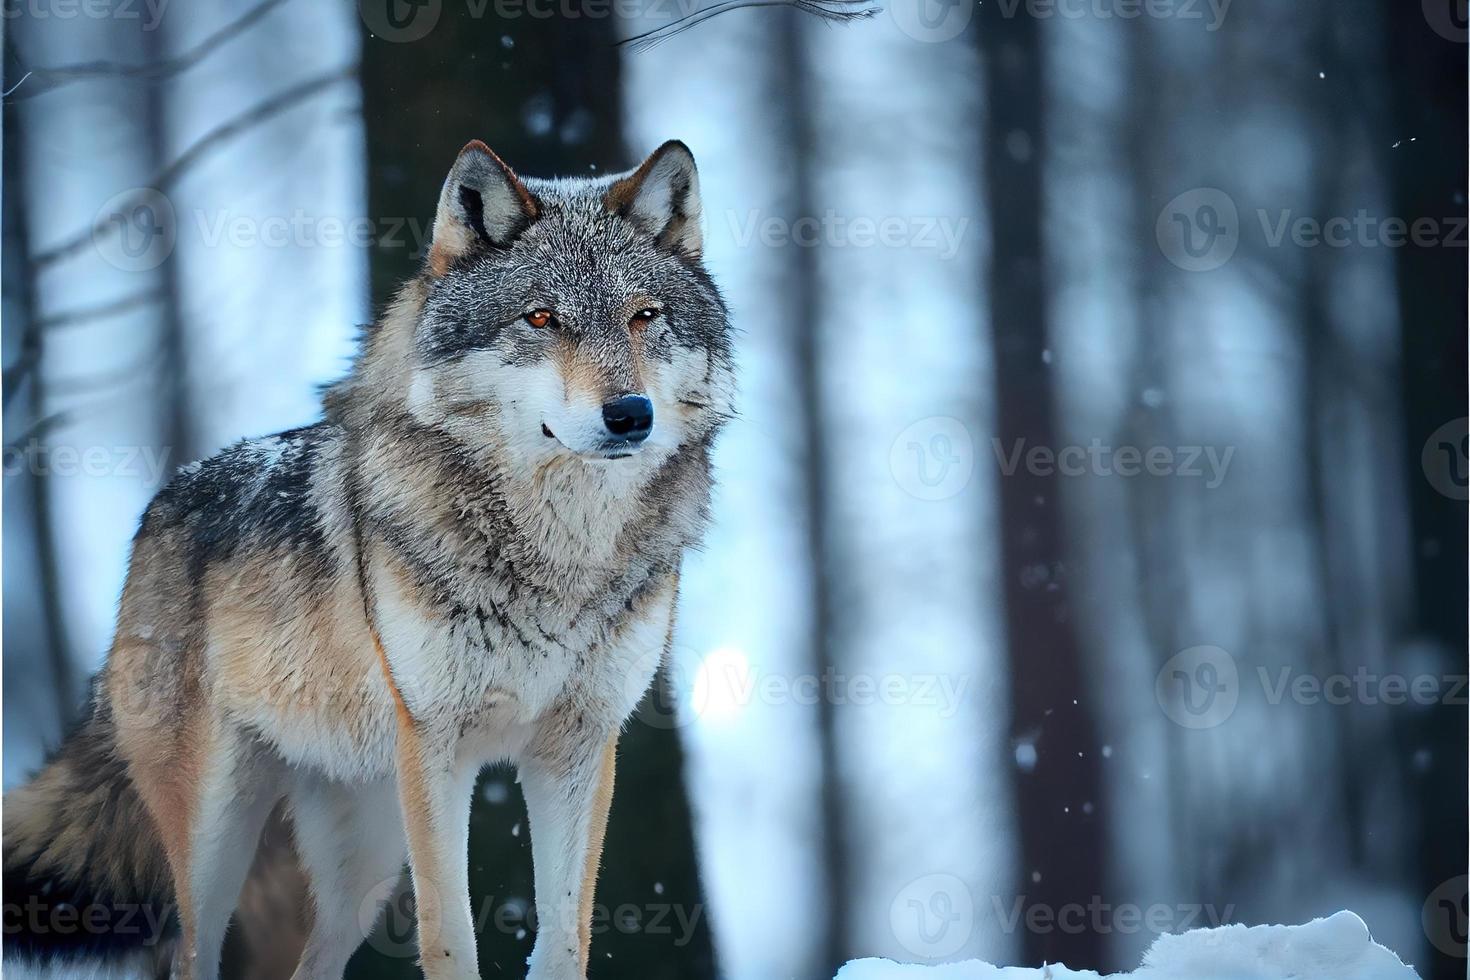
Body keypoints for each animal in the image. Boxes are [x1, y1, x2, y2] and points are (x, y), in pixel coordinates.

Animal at [1, 139, 735, 980]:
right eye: (542, 318)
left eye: (645, 316)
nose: (630, 415)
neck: (560, 560)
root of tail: (157, 508)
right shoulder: (440, 751)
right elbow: (450, 939)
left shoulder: (578, 749)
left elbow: (566, 940)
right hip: (222, 841)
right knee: (193, 955)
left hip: (366, 858)